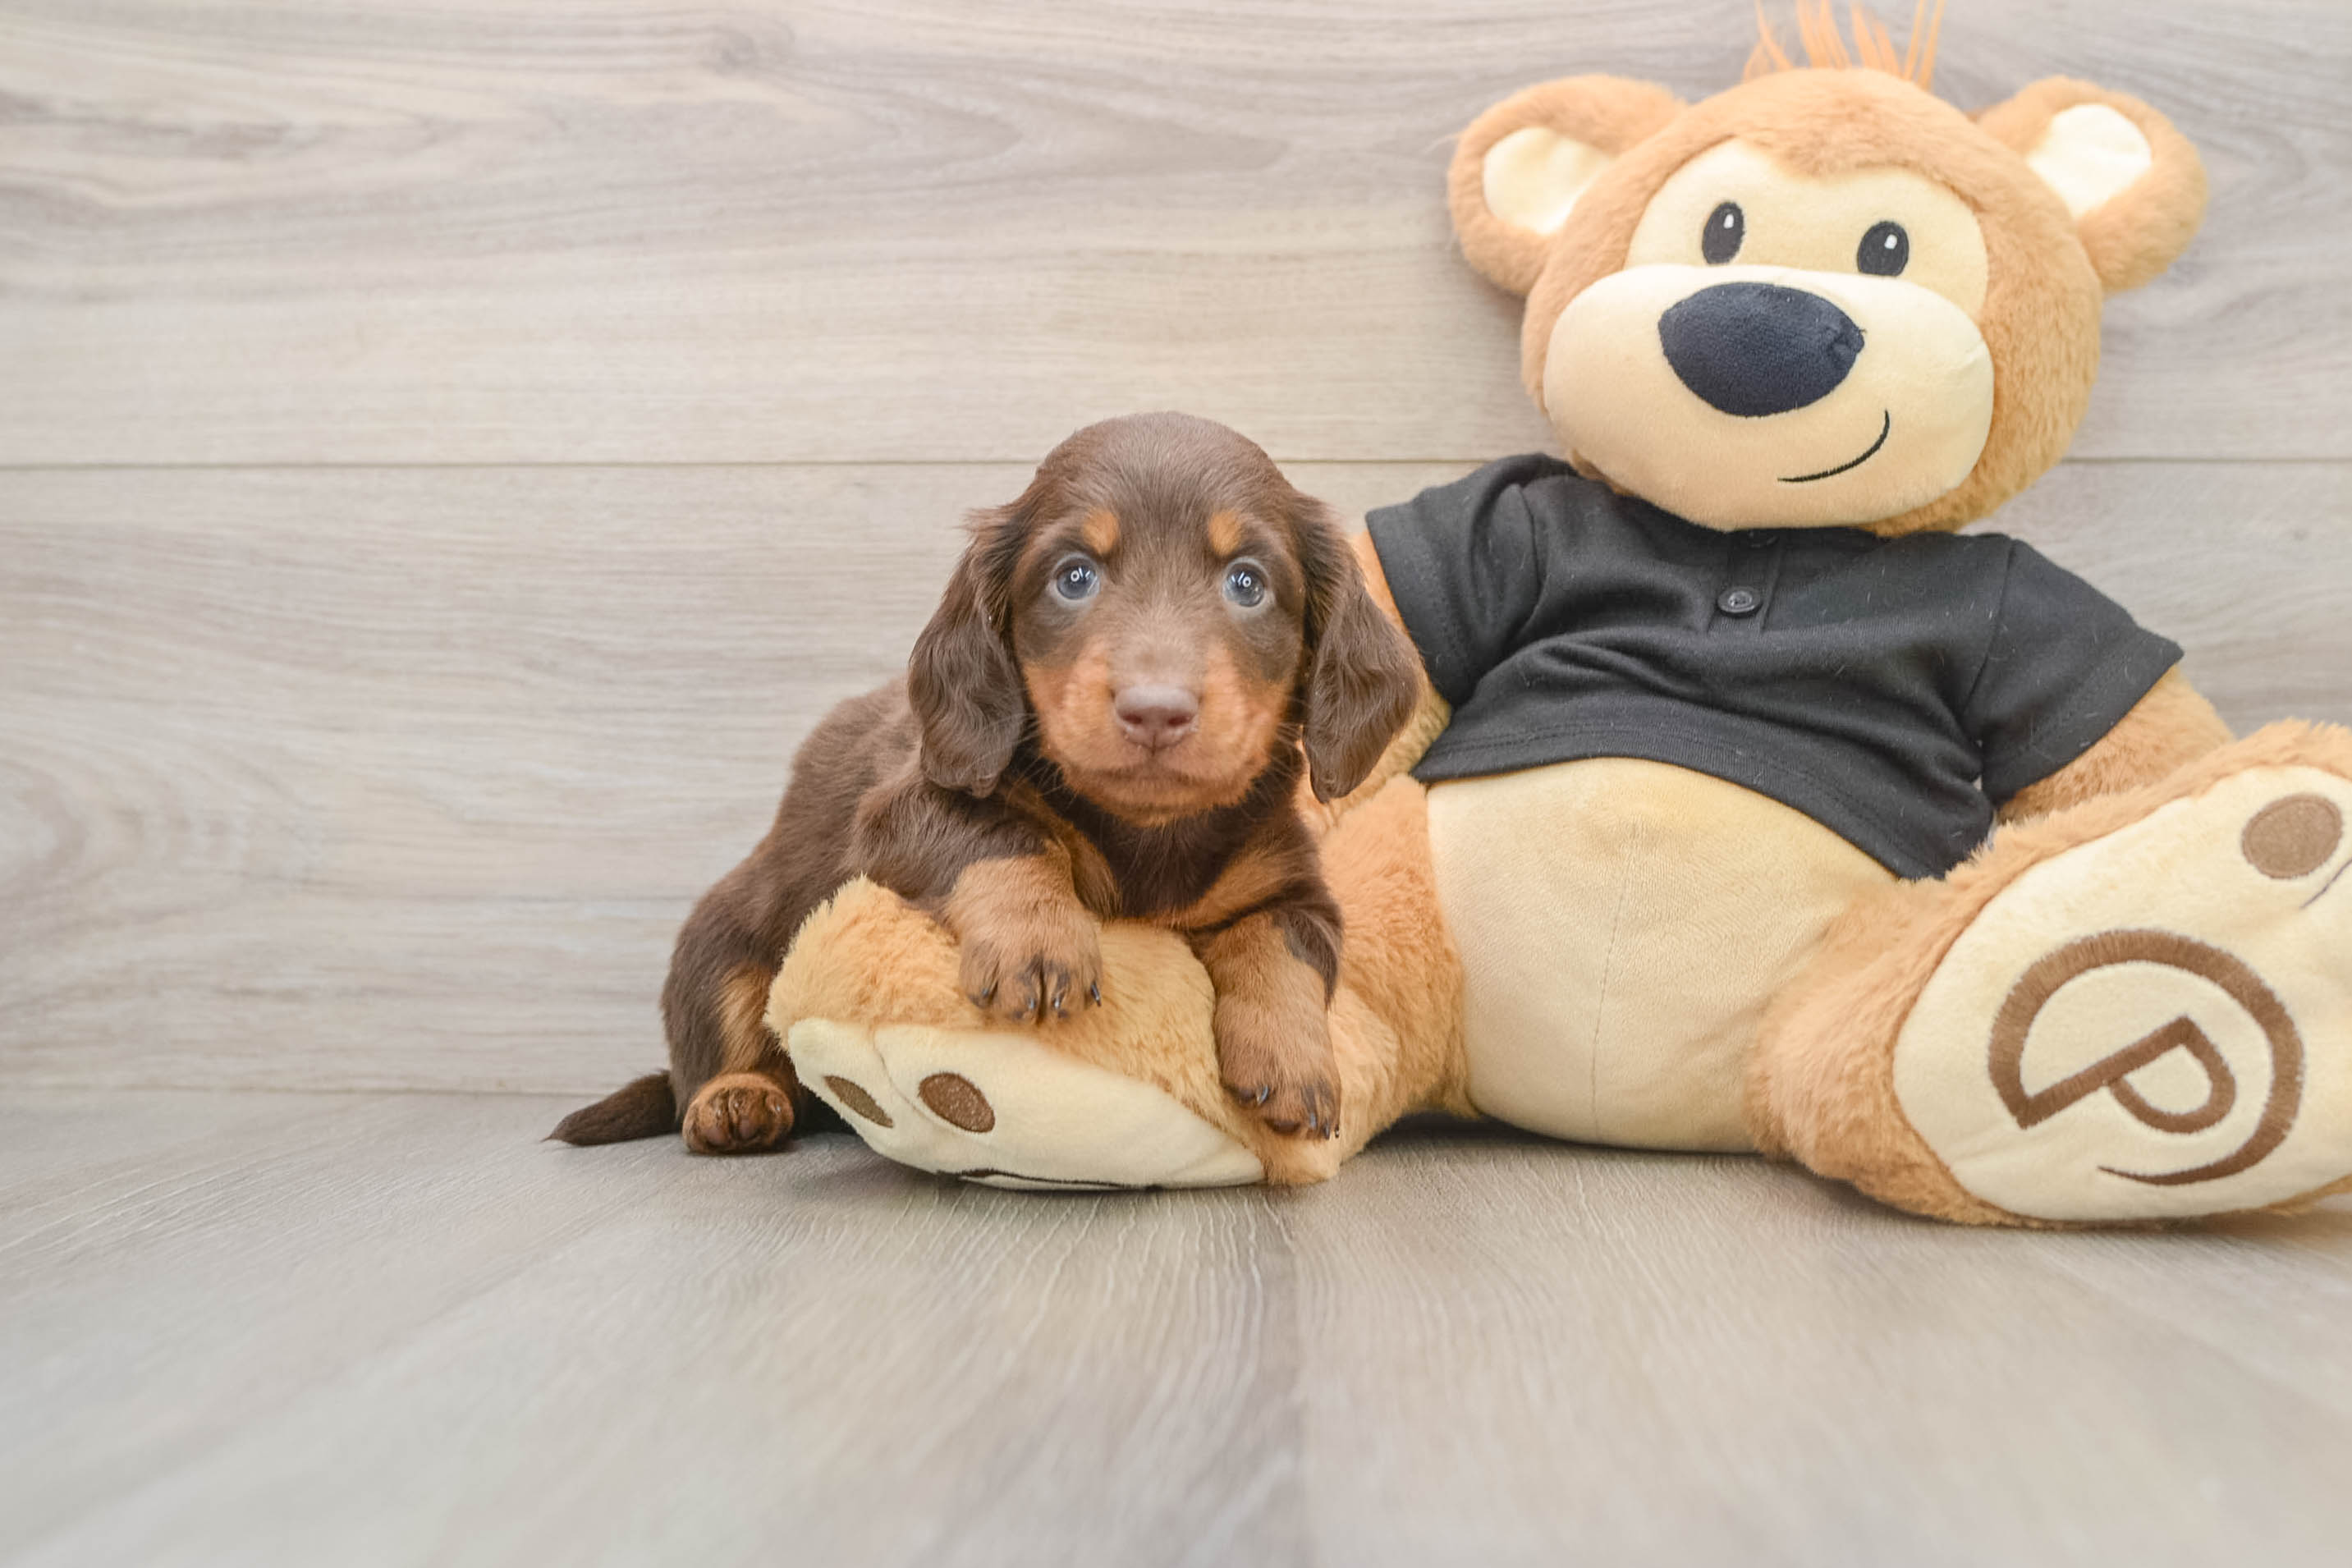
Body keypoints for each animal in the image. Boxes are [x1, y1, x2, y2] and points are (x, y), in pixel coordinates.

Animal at [552, 412, 1423, 1156]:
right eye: (1074, 577)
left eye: (1247, 583)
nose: (1155, 711)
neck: (1143, 829)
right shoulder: (901, 809)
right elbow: (1008, 835)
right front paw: (1038, 941)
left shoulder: (1293, 885)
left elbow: (1281, 945)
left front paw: (1293, 1061)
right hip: (720, 941)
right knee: (716, 1044)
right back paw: (735, 1100)